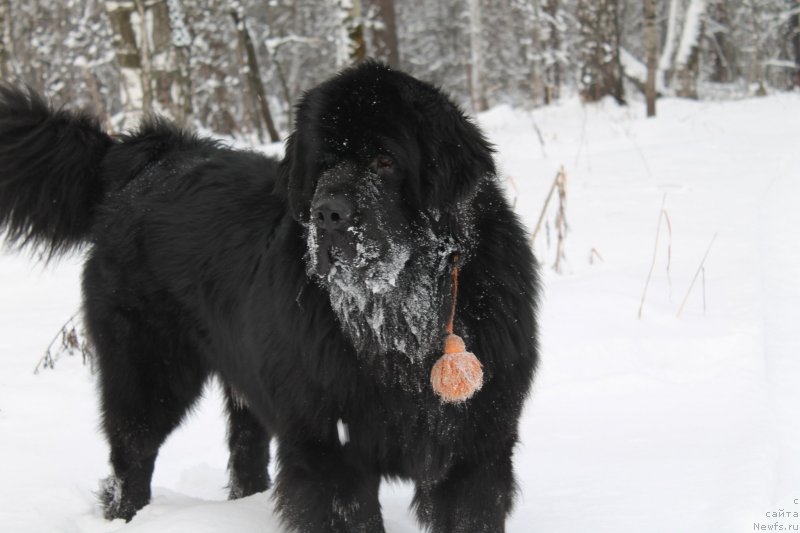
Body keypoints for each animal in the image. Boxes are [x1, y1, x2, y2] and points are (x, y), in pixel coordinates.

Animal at [0, 63, 540, 532]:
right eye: (322, 165)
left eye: (384, 160)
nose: (327, 214)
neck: (396, 313)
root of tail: (141, 163)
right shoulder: (328, 450)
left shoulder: (476, 449)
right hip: (148, 371)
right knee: (130, 457)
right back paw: (127, 516)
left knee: (244, 448)